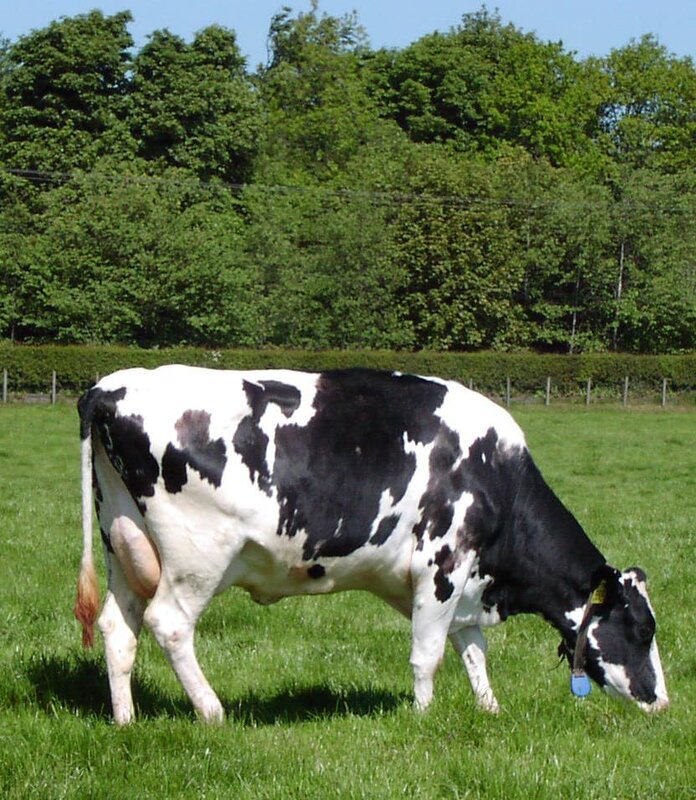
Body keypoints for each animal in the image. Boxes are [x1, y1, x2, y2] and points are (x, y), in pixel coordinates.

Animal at [74, 366, 668, 724]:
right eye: (641, 631)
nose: (662, 702)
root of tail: (110, 387)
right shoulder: (442, 566)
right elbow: (429, 655)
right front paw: (424, 718)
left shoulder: (465, 582)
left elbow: (474, 650)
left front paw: (490, 710)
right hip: (197, 555)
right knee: (170, 624)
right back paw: (213, 712)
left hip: (123, 543)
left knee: (118, 628)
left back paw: (125, 719)